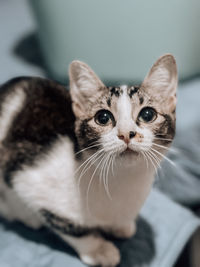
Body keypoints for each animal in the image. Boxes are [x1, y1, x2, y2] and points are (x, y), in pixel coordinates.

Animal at [0, 54, 177, 267]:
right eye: (103, 117)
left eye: (148, 114)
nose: (126, 134)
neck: (122, 181)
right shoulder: (27, 177)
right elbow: (73, 230)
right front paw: (99, 249)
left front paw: (120, 226)